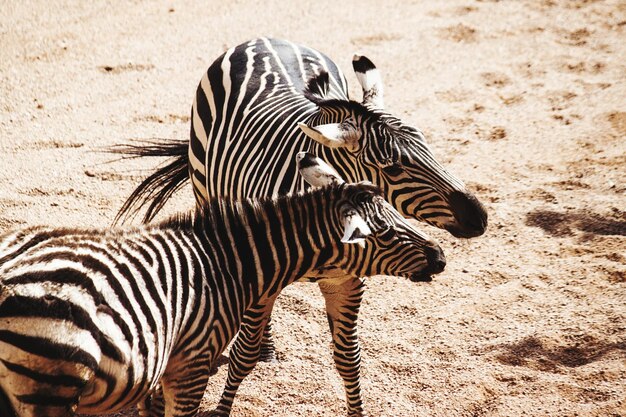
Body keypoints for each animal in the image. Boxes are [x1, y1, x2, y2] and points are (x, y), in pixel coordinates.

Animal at [0, 153, 444, 416]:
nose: (440, 257)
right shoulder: (194, 360)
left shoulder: (165, 362)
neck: (227, 263)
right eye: (384, 233)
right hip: (50, 386)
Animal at [117, 37, 488, 414]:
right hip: (206, 188)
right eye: (394, 168)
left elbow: (349, 359)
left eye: (430, 147)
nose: (479, 217)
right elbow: (242, 354)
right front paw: (223, 407)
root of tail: (264, 39)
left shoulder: (348, 281)